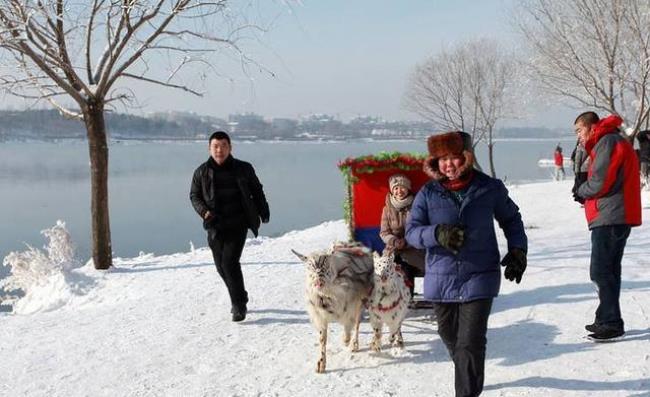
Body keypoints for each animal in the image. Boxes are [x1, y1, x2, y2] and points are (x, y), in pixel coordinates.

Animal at [292, 240, 372, 372]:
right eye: (310, 266)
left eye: (325, 264)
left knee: (357, 323)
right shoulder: (319, 316)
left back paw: (354, 344)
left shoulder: (351, 306)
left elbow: (350, 325)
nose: (318, 281)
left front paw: (347, 340)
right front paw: (321, 364)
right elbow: (322, 339)